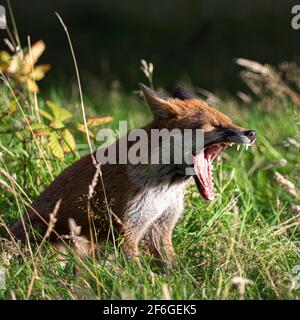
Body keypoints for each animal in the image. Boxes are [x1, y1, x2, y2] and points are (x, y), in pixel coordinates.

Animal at [10, 84, 256, 268]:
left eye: (229, 120)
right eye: (215, 125)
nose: (251, 133)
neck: (164, 189)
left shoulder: (160, 227)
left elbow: (172, 267)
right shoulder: (128, 228)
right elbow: (137, 272)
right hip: (68, 242)